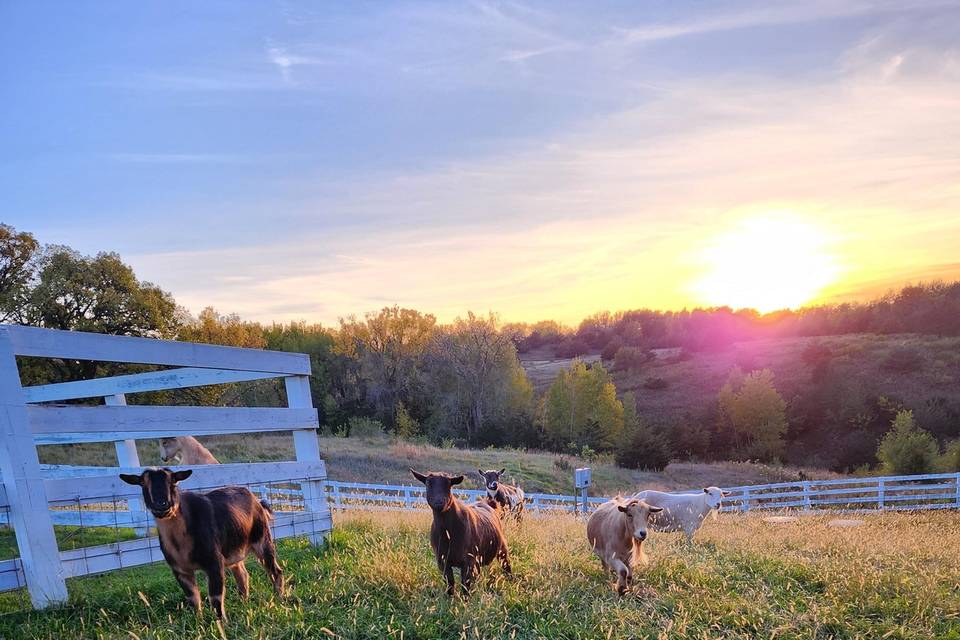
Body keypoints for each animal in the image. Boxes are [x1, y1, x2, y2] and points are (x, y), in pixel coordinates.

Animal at [119, 464, 282, 620]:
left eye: (173, 481)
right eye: (143, 483)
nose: (162, 506)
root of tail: (257, 500)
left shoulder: (214, 563)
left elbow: (215, 598)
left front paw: (221, 623)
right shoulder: (180, 570)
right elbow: (193, 599)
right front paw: (199, 623)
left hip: (262, 540)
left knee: (274, 571)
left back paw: (279, 599)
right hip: (234, 551)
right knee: (242, 575)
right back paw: (244, 603)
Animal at [410, 464, 510, 596]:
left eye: (449, 484)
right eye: (427, 483)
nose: (439, 502)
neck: (448, 533)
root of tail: (489, 503)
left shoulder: (468, 561)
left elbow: (465, 585)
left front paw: (465, 600)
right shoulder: (443, 561)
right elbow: (450, 583)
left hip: (501, 548)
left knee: (506, 566)